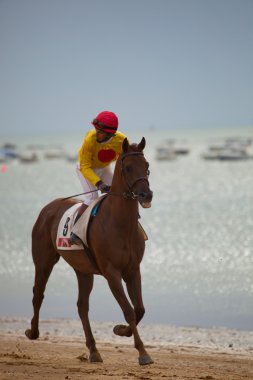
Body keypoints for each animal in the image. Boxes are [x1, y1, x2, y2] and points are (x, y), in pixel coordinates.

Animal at [24, 137, 153, 366]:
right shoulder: (112, 273)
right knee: (38, 294)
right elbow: (128, 310)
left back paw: (93, 350)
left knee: (82, 306)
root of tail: (49, 207)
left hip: (83, 271)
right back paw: (33, 332)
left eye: (147, 166)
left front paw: (121, 330)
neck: (120, 223)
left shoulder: (133, 270)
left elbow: (139, 309)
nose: (146, 194)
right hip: (43, 260)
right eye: (128, 167)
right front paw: (142, 352)